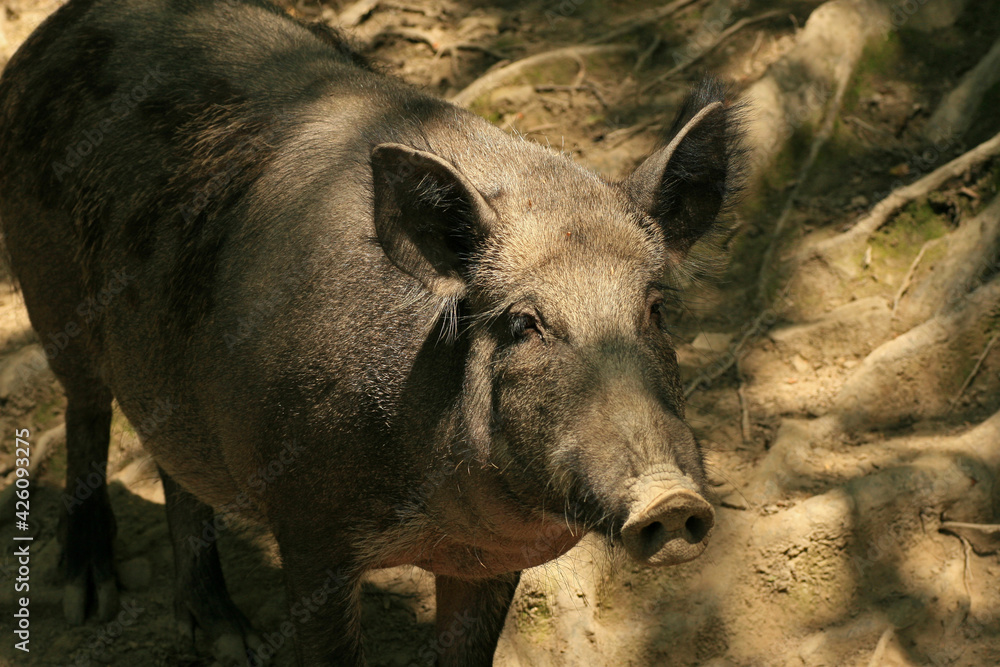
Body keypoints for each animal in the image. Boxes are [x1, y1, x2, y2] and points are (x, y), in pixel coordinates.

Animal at [0, 0, 745, 664]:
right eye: (524, 322)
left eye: (655, 308)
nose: (670, 498)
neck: (437, 518)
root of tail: (57, 28)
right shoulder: (309, 530)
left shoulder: (488, 559)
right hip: (48, 288)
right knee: (87, 409)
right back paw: (89, 597)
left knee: (175, 462)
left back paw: (227, 641)